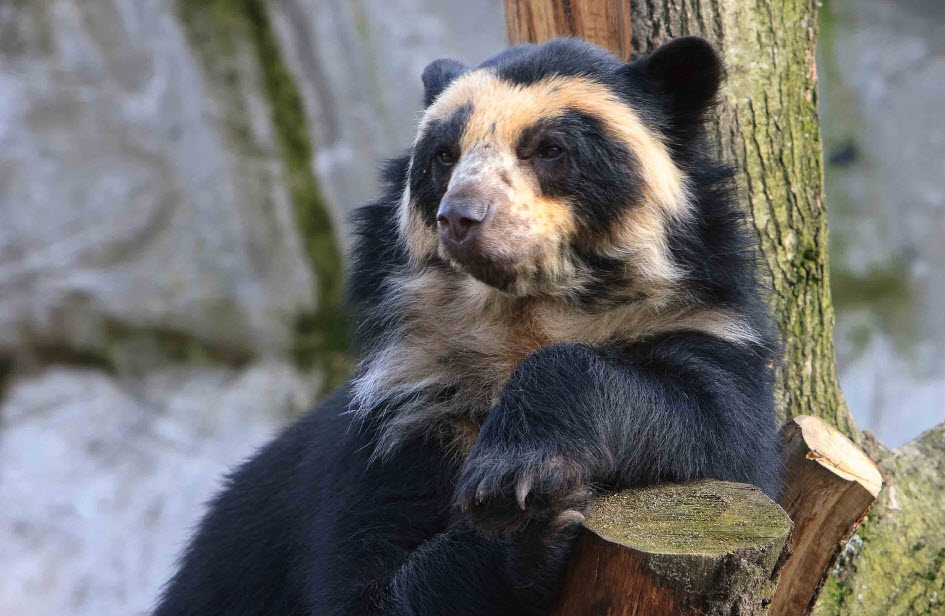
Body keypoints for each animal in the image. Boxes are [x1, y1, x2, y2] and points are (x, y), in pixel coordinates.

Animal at [153, 36, 781, 616]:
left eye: (550, 149)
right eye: (444, 156)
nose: (460, 217)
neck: (523, 316)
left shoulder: (703, 324)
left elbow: (720, 431)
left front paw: (512, 474)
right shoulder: (407, 413)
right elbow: (362, 586)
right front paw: (524, 525)